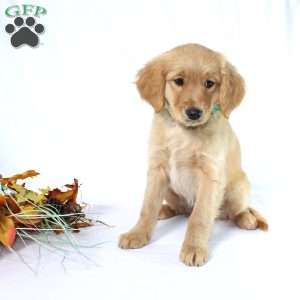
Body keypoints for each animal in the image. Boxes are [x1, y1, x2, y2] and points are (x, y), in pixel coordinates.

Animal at [118, 43, 268, 266]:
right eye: (179, 81)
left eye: (209, 83)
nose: (194, 113)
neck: (183, 132)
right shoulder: (157, 169)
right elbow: (147, 207)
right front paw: (137, 234)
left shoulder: (210, 175)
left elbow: (200, 217)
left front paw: (194, 248)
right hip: (170, 191)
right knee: (180, 209)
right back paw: (164, 210)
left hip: (238, 187)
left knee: (235, 210)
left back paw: (246, 218)